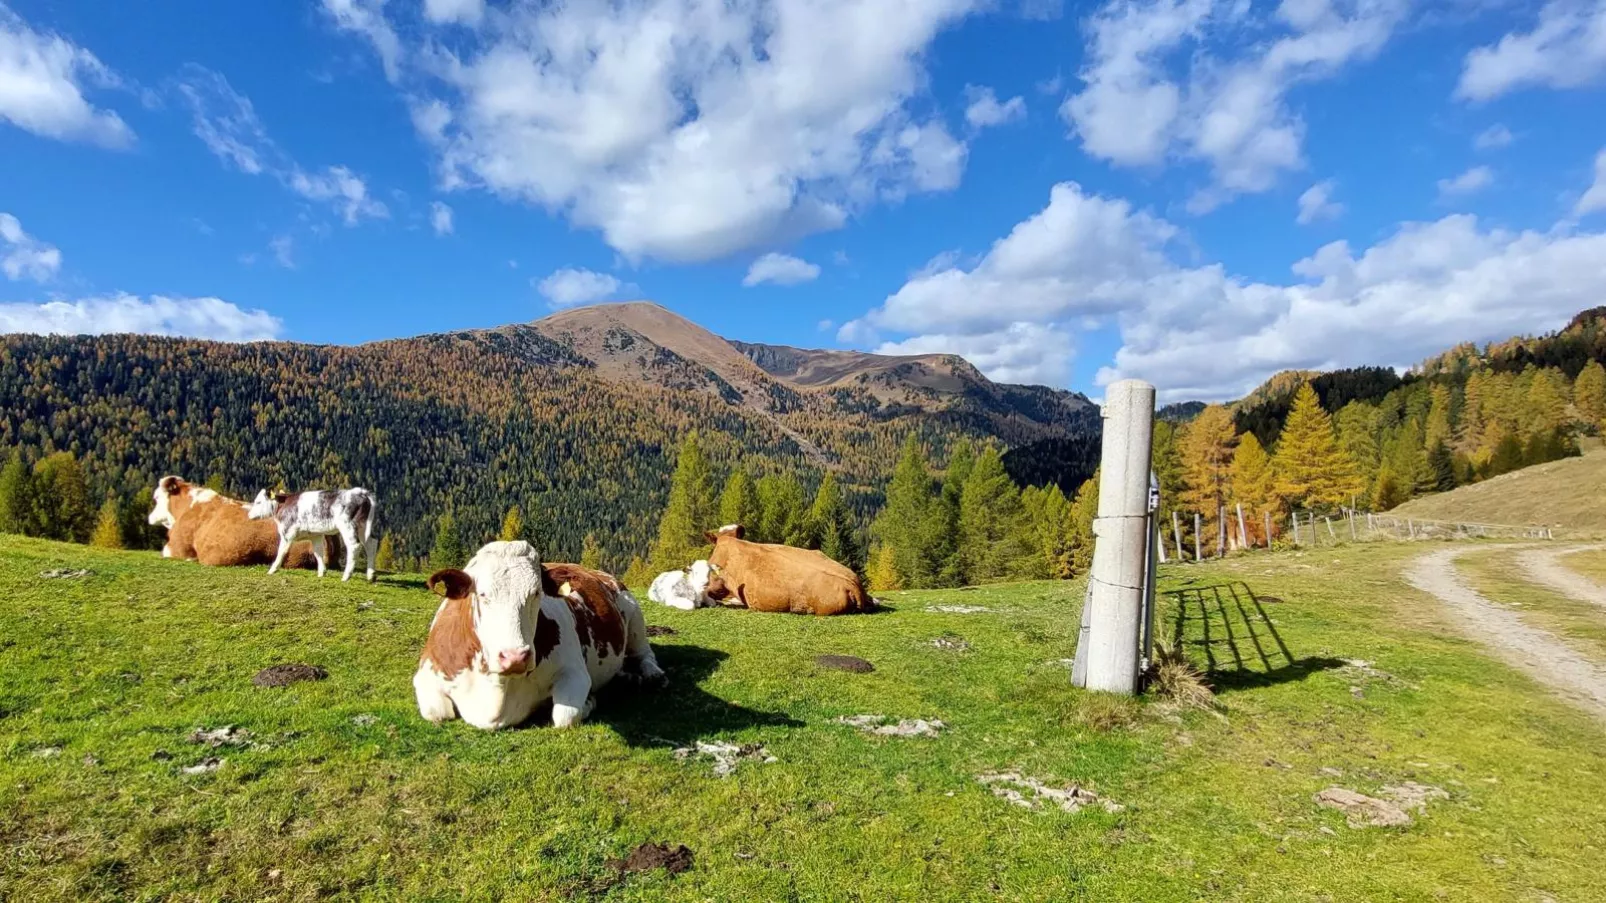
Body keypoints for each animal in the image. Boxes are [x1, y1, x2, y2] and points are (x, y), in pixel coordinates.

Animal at [245, 488, 377, 578]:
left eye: (258, 502)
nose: (249, 515)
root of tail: (361, 493)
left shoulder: (287, 532)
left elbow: (281, 551)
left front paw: (272, 569)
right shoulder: (315, 535)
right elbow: (318, 552)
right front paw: (322, 572)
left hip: (348, 526)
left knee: (354, 546)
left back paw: (346, 576)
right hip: (363, 527)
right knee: (371, 544)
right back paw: (370, 575)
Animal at [417, 536, 668, 726]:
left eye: (536, 593)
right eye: (482, 594)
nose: (515, 657)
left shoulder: (574, 671)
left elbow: (565, 715)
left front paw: (589, 701)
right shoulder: (425, 675)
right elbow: (436, 712)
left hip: (634, 614)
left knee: (645, 653)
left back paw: (652, 675)